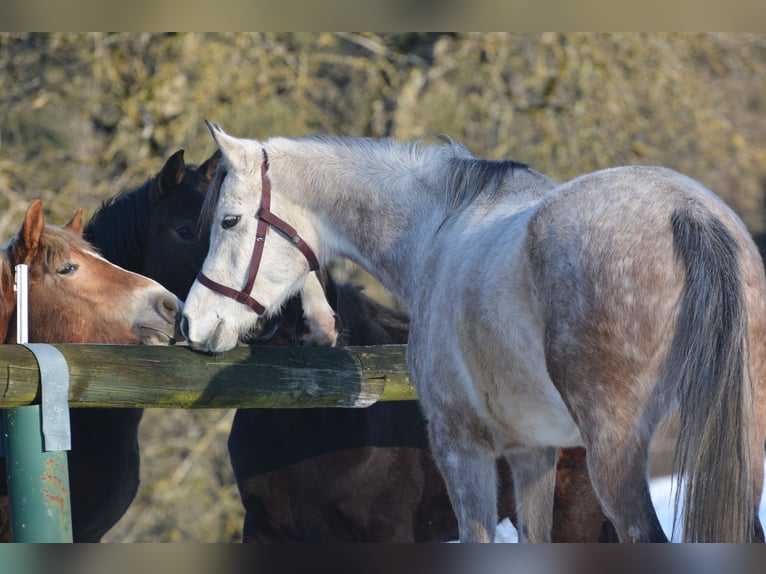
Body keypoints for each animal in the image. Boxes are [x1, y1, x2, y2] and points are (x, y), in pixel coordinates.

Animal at [182, 123, 766, 543]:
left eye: (229, 220)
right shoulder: (533, 452)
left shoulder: (461, 446)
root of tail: (688, 214)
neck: (437, 230)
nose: (193, 321)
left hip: (615, 456)